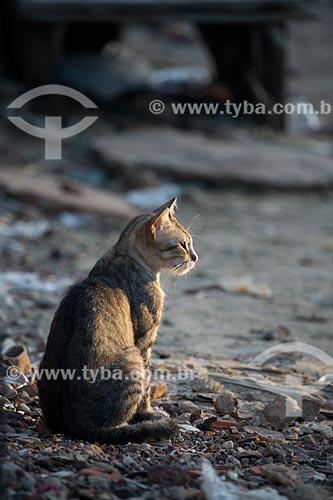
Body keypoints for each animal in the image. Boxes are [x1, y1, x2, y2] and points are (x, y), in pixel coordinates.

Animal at [37, 197, 197, 444]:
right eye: (182, 244)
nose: (195, 257)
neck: (120, 256)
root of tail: (75, 425)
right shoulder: (144, 341)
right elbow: (147, 388)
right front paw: (148, 414)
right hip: (132, 360)